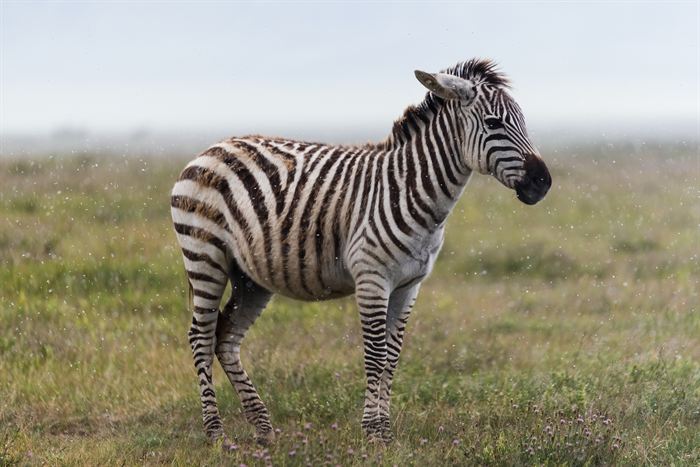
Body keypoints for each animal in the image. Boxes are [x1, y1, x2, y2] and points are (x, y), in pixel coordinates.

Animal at [170, 58, 551, 446]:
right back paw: (215, 433)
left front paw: (385, 430)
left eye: (522, 120)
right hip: (205, 256)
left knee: (226, 338)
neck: (414, 191)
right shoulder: (372, 279)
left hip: (251, 277)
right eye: (493, 123)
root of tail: (212, 148)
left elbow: (392, 358)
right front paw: (373, 432)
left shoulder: (409, 286)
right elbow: (375, 355)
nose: (543, 183)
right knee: (200, 336)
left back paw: (263, 428)